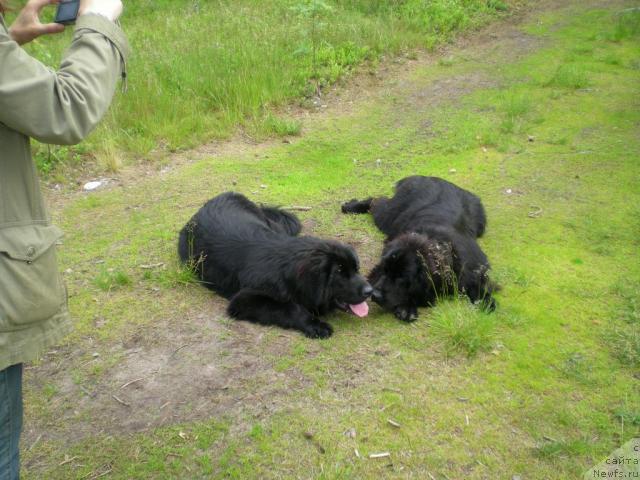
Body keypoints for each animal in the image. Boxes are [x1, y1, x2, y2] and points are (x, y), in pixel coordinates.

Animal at [178, 191, 372, 338]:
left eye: (356, 269)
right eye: (339, 272)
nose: (370, 291)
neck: (287, 269)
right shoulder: (243, 300)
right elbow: (291, 308)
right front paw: (316, 325)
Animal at [342, 174, 498, 320]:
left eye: (401, 278)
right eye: (385, 270)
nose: (375, 294)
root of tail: (428, 177)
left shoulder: (472, 265)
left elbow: (476, 282)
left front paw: (486, 301)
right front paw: (406, 308)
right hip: (389, 215)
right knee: (376, 201)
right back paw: (350, 206)